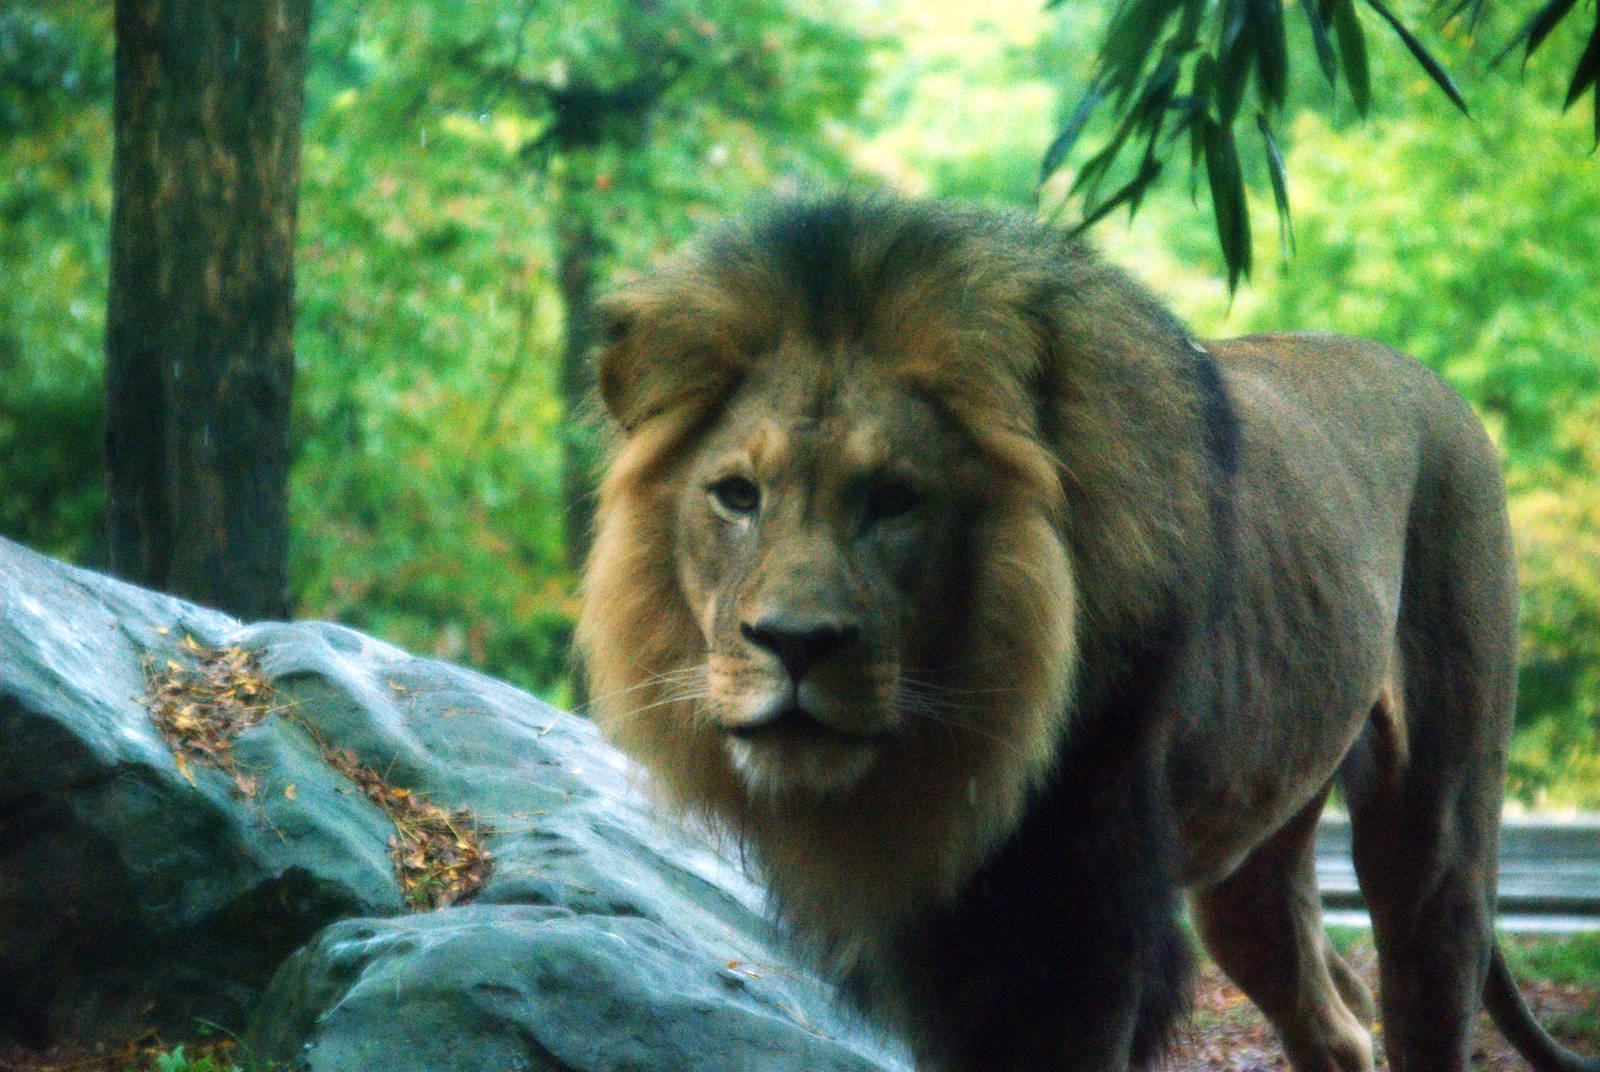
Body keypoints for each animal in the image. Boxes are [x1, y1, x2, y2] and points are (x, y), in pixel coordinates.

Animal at [576, 194, 1597, 1072]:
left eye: (896, 501)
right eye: (737, 496)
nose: (795, 642)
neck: (939, 766)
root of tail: (1435, 385)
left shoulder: (1083, 944)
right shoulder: (937, 955)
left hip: (1435, 834)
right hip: (1249, 866)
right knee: (1337, 1018)